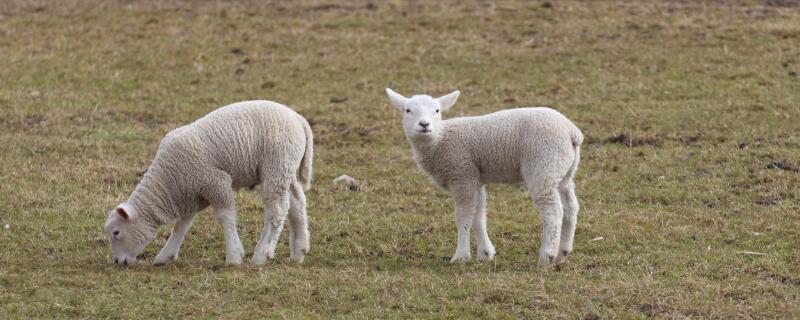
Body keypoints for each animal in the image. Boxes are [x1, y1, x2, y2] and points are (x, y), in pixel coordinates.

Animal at [105, 101, 316, 266]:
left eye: (116, 232)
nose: (118, 261)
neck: (168, 181)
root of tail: (298, 119)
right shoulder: (191, 194)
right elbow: (181, 225)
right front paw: (165, 256)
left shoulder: (216, 183)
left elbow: (226, 218)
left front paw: (234, 257)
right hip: (286, 169)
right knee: (297, 203)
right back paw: (299, 251)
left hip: (277, 165)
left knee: (277, 211)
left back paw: (262, 254)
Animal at [384, 87, 584, 264]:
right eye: (408, 110)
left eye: (437, 110)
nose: (424, 124)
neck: (440, 140)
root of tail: (572, 132)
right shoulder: (474, 178)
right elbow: (478, 216)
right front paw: (485, 253)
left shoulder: (461, 175)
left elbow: (463, 216)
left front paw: (461, 256)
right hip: (562, 171)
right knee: (570, 207)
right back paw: (562, 253)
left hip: (543, 165)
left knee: (553, 211)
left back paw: (546, 256)